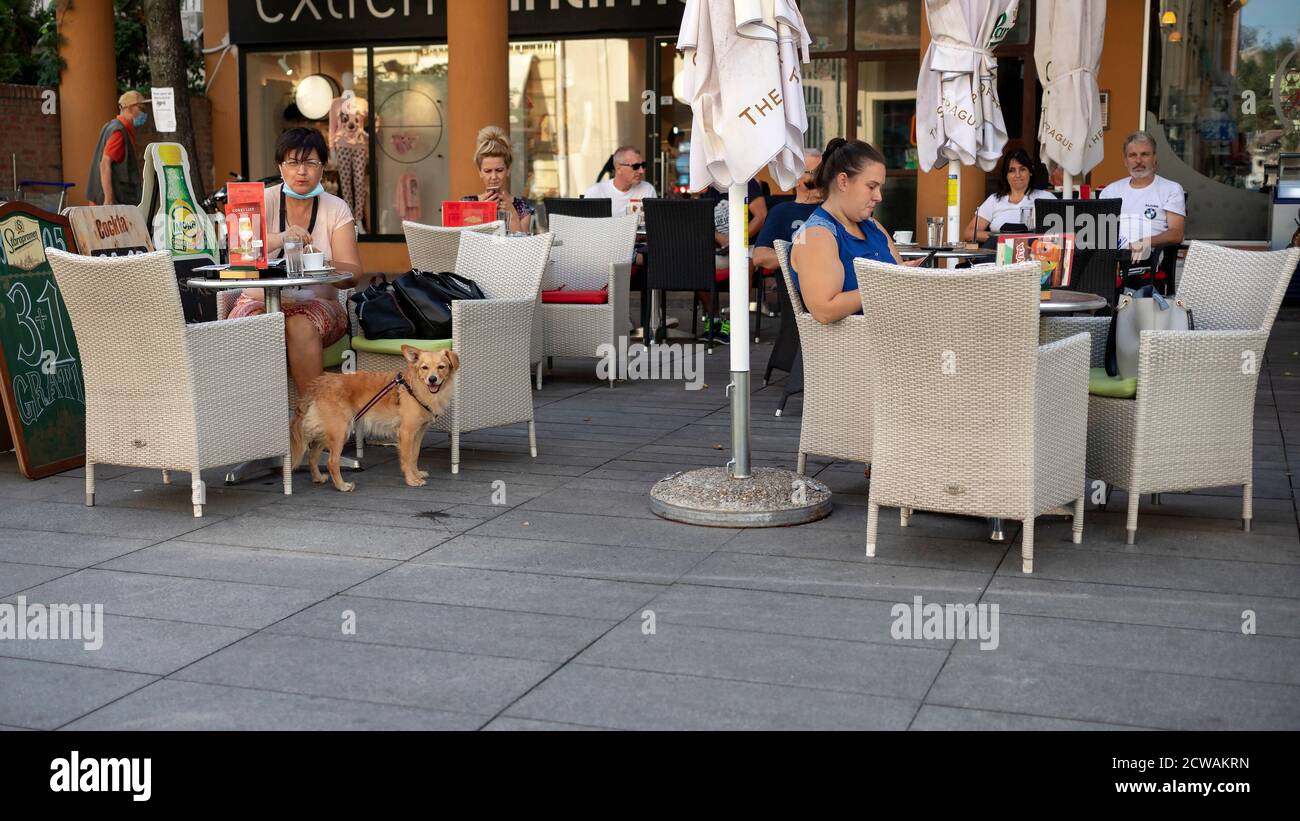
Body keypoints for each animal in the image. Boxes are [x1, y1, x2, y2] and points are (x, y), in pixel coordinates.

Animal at [292, 345, 460, 491]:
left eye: (441, 367)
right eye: (424, 368)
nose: (432, 379)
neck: (415, 388)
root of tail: (318, 385)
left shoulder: (418, 433)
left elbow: (414, 456)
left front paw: (417, 474)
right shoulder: (406, 433)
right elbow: (407, 458)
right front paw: (411, 480)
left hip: (327, 433)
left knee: (312, 455)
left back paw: (318, 477)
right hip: (340, 432)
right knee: (331, 462)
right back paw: (342, 486)